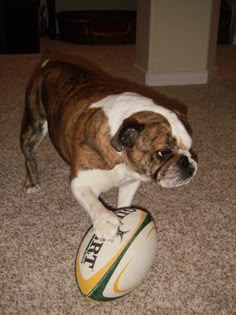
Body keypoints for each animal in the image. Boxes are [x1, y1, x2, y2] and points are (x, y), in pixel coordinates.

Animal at [19, 58, 197, 242]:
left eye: (190, 147)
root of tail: (51, 62)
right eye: (163, 153)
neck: (120, 154)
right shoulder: (82, 183)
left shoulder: (130, 182)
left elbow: (124, 202)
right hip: (34, 124)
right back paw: (31, 182)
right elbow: (93, 202)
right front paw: (105, 221)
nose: (186, 161)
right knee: (28, 153)